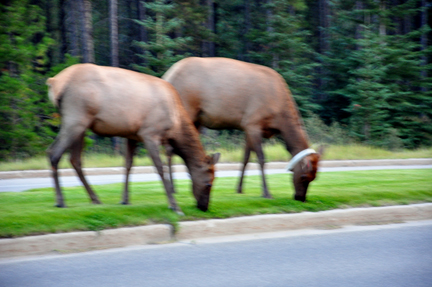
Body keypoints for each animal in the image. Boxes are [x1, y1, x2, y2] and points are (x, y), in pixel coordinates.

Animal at [47, 64, 219, 215]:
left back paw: (95, 199)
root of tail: (54, 82)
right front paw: (175, 207)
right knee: (54, 152)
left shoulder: (132, 135)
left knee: (74, 159)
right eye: (209, 183)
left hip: (82, 125)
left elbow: (128, 164)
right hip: (75, 118)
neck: (175, 126)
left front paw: (125, 200)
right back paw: (60, 201)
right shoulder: (149, 133)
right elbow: (160, 168)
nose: (204, 207)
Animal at [164, 56, 322, 202]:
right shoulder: (253, 123)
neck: (280, 118)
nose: (300, 198)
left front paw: (239, 189)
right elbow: (261, 158)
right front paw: (266, 193)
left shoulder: (247, 127)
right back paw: (173, 188)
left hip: (197, 119)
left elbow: (245, 157)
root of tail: (168, 75)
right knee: (170, 149)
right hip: (186, 110)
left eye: (314, 178)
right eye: (303, 176)